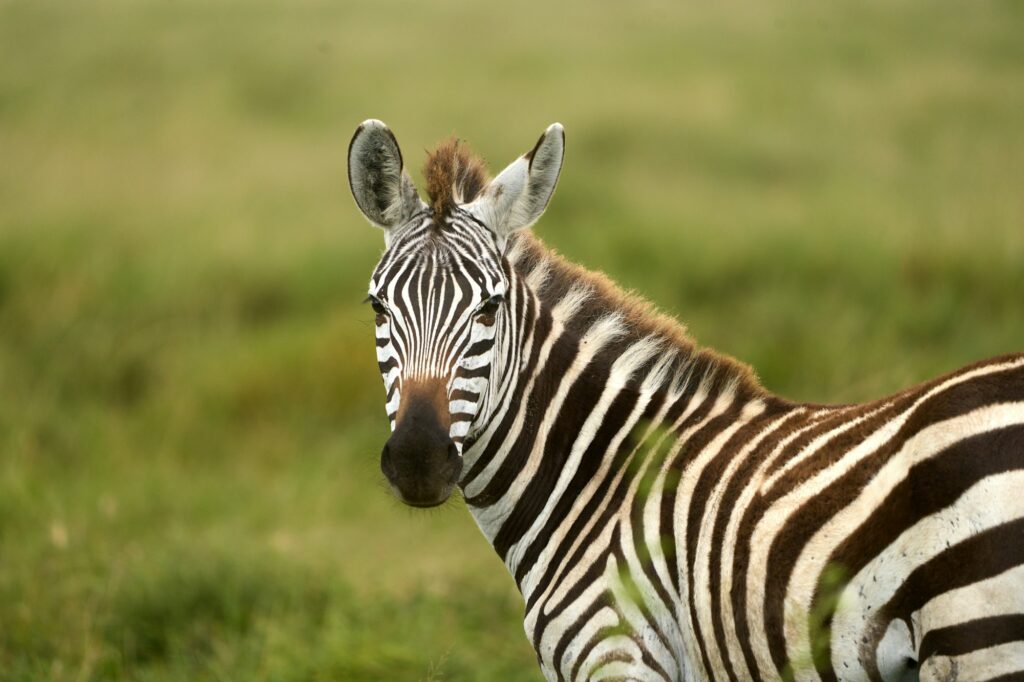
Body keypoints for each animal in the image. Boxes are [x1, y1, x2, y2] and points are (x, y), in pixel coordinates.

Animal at [346, 119, 1024, 679]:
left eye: (489, 308)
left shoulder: (618, 653)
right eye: (377, 308)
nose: (418, 460)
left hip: (979, 631)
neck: (600, 485)